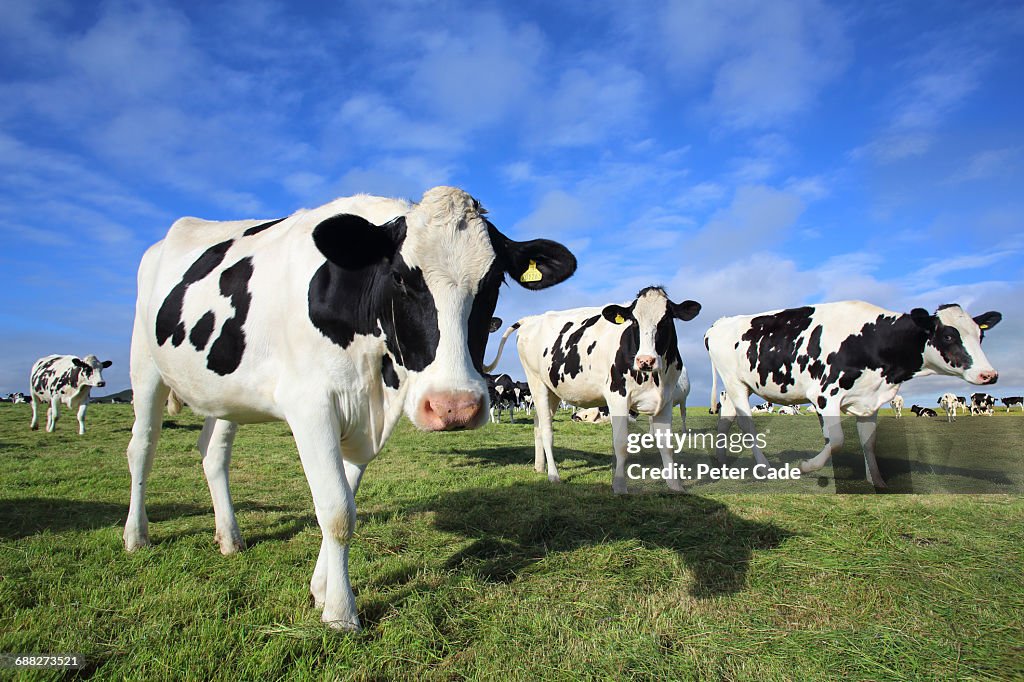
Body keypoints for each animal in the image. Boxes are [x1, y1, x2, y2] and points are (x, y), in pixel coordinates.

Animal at [119, 184, 577, 626]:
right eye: (399, 278)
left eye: (494, 282)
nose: (454, 407)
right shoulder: (311, 406)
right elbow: (337, 510)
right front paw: (341, 613)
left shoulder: (363, 418)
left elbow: (346, 500)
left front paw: (321, 589)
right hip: (144, 365)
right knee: (141, 447)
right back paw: (136, 535)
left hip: (224, 391)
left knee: (213, 453)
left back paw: (229, 537)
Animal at [483, 284, 700, 491]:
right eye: (634, 322)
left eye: (666, 320)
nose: (645, 360)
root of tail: (531, 319)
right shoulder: (617, 397)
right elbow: (621, 443)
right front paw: (619, 486)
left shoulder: (665, 400)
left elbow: (667, 445)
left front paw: (675, 486)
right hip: (536, 383)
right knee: (546, 430)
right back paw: (553, 475)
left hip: (552, 390)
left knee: (538, 424)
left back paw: (539, 467)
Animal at [704, 301, 999, 485]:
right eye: (948, 336)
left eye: (980, 336)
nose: (989, 374)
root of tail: (720, 322)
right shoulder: (825, 395)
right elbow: (836, 440)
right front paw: (808, 466)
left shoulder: (871, 400)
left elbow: (868, 441)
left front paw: (877, 481)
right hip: (735, 383)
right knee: (746, 424)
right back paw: (763, 466)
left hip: (737, 386)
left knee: (726, 417)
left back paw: (721, 460)